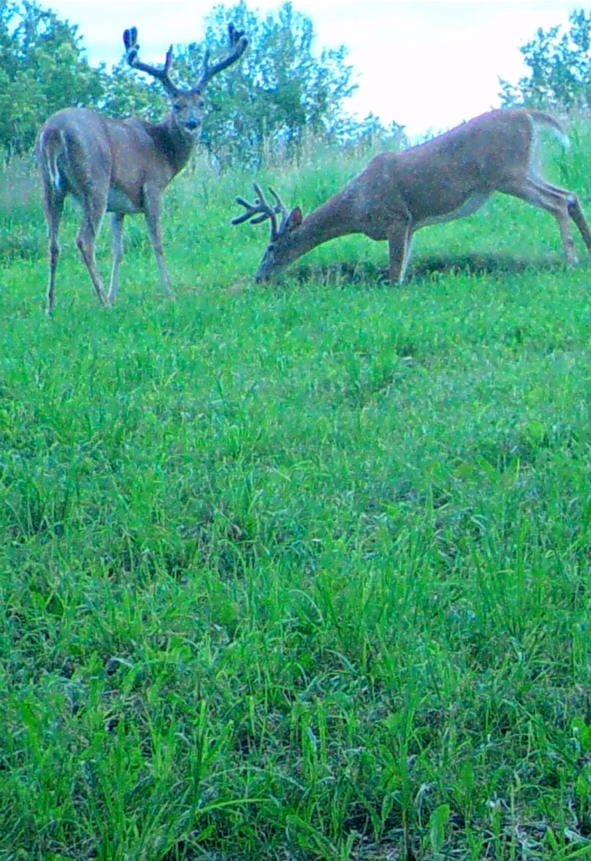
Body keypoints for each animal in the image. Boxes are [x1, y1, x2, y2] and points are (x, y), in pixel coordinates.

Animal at [36, 23, 248, 314]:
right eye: (177, 105)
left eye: (202, 103)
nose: (192, 124)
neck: (164, 150)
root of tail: (53, 132)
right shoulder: (152, 188)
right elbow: (157, 242)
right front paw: (169, 292)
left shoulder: (119, 207)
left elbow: (118, 250)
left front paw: (114, 293)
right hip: (95, 181)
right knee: (84, 241)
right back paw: (102, 304)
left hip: (49, 186)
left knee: (52, 243)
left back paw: (50, 307)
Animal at [233, 108, 591, 285]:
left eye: (271, 247)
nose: (259, 278)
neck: (356, 206)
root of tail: (528, 114)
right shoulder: (411, 224)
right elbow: (403, 267)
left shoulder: (396, 216)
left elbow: (394, 274)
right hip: (526, 168)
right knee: (570, 195)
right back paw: (586, 250)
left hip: (508, 173)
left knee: (558, 202)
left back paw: (571, 259)